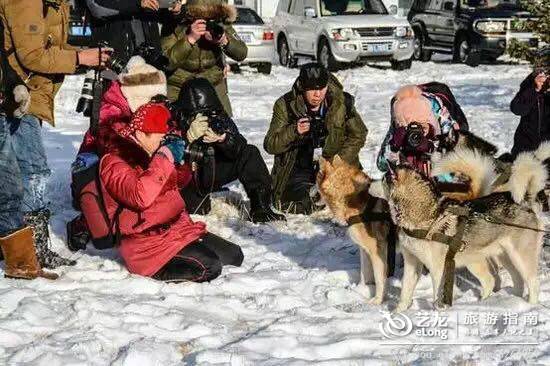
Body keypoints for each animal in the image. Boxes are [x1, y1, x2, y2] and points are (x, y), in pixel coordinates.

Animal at [316, 156, 394, 304]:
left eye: (318, 175)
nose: (311, 196)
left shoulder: (377, 252)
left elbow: (379, 280)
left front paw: (377, 301)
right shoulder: (364, 250)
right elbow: (364, 275)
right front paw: (360, 291)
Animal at [388, 157, 548, 312]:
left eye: (384, 179)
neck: (425, 217)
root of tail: (525, 202)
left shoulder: (438, 268)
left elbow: (437, 297)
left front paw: (438, 314)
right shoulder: (412, 264)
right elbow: (405, 293)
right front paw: (398, 312)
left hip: (519, 257)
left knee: (532, 282)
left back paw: (530, 305)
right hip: (494, 259)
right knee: (500, 280)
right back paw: (500, 302)